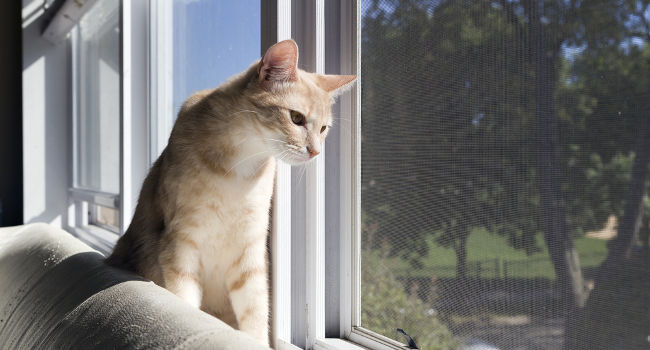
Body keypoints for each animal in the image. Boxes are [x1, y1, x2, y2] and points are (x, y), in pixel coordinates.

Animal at [107, 39, 356, 346]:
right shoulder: (180, 243)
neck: (239, 167)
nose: (315, 152)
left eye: (323, 129)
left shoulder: (250, 250)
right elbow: (186, 298)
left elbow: (256, 311)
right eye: (296, 118)